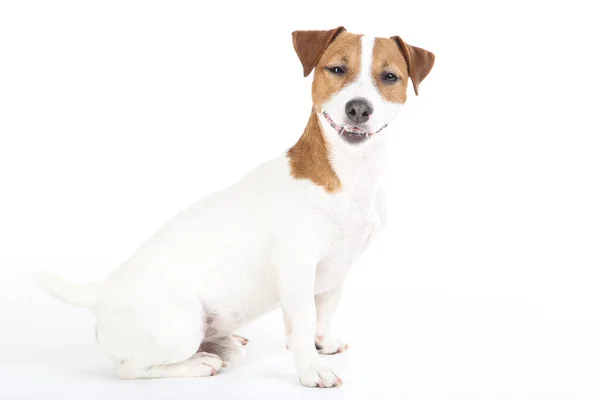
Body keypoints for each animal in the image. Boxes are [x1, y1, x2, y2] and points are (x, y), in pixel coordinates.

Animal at [38, 27, 436, 388]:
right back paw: (200, 363)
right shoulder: (297, 266)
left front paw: (321, 344)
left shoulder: (339, 268)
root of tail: (101, 290)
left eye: (389, 77)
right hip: (180, 326)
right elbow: (304, 319)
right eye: (337, 69)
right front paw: (311, 369)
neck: (351, 173)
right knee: (130, 369)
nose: (358, 109)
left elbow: (324, 311)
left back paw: (225, 343)